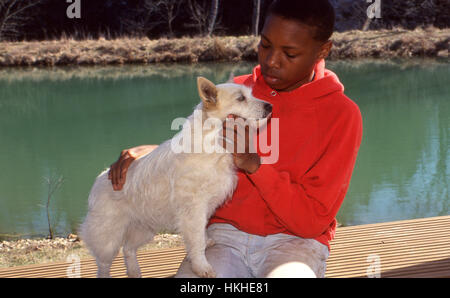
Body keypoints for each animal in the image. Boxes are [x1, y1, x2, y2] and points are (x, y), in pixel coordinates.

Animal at [79, 76, 270, 278]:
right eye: (241, 98)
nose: (270, 107)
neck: (212, 141)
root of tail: (101, 178)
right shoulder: (193, 210)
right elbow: (196, 242)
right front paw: (201, 266)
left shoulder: (202, 210)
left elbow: (200, 234)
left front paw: (206, 243)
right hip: (108, 238)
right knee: (103, 265)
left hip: (143, 228)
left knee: (128, 249)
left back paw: (134, 271)